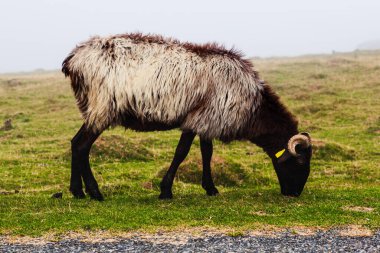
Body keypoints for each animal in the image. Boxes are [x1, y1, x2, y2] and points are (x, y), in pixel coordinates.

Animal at [62, 33, 312, 202]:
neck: (254, 109)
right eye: (301, 161)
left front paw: (210, 188)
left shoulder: (207, 120)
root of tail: (74, 59)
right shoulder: (199, 119)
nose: (295, 193)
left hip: (95, 109)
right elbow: (182, 152)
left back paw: (78, 191)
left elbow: (206, 152)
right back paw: (94, 192)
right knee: (83, 146)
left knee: (76, 143)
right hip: (102, 107)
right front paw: (166, 191)